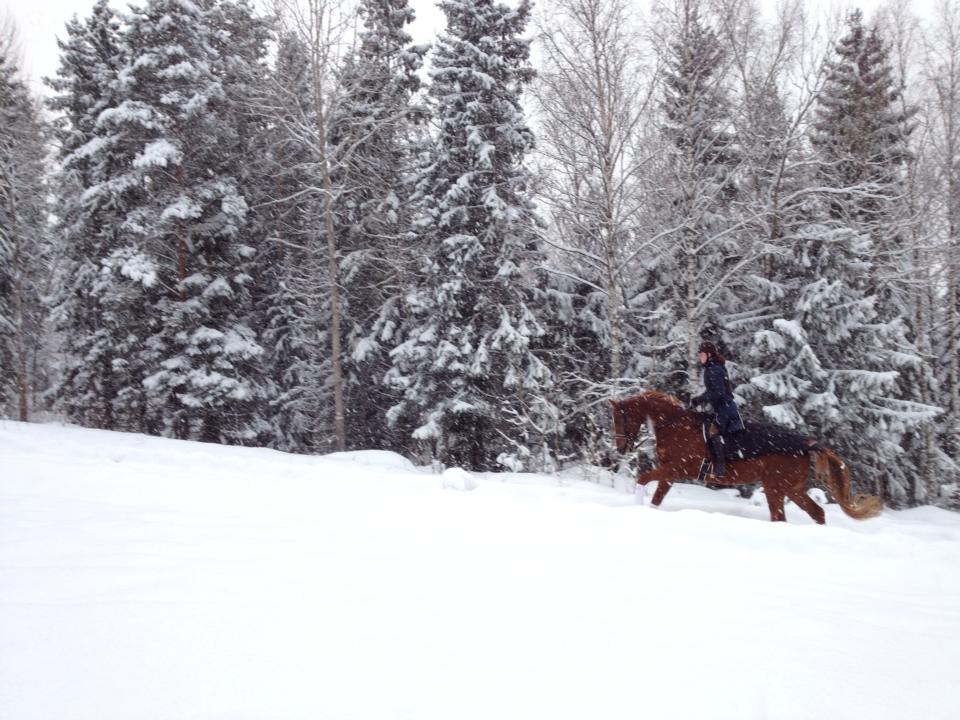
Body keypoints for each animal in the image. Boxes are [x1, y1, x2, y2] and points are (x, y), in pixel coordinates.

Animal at [610, 391, 883, 524]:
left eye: (621, 418)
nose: (620, 448)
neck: (675, 425)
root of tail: (806, 445)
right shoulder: (670, 473)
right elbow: (656, 497)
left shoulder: (677, 470)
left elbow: (643, 479)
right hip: (792, 489)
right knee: (817, 513)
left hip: (775, 488)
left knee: (781, 518)